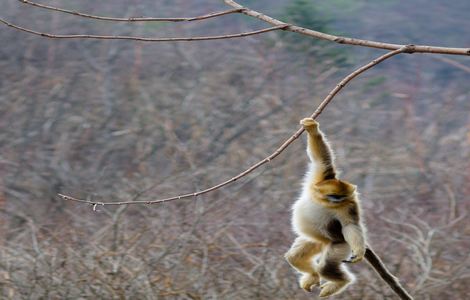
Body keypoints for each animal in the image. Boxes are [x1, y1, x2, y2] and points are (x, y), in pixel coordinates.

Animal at [282, 118, 368, 298]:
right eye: (334, 195)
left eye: (341, 197)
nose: (339, 200)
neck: (323, 202)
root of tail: (325, 241)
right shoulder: (320, 177)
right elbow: (321, 159)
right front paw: (312, 129)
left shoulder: (348, 205)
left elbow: (350, 225)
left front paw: (359, 251)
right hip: (314, 240)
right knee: (294, 256)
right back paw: (313, 275)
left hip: (339, 243)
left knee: (326, 266)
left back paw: (340, 282)